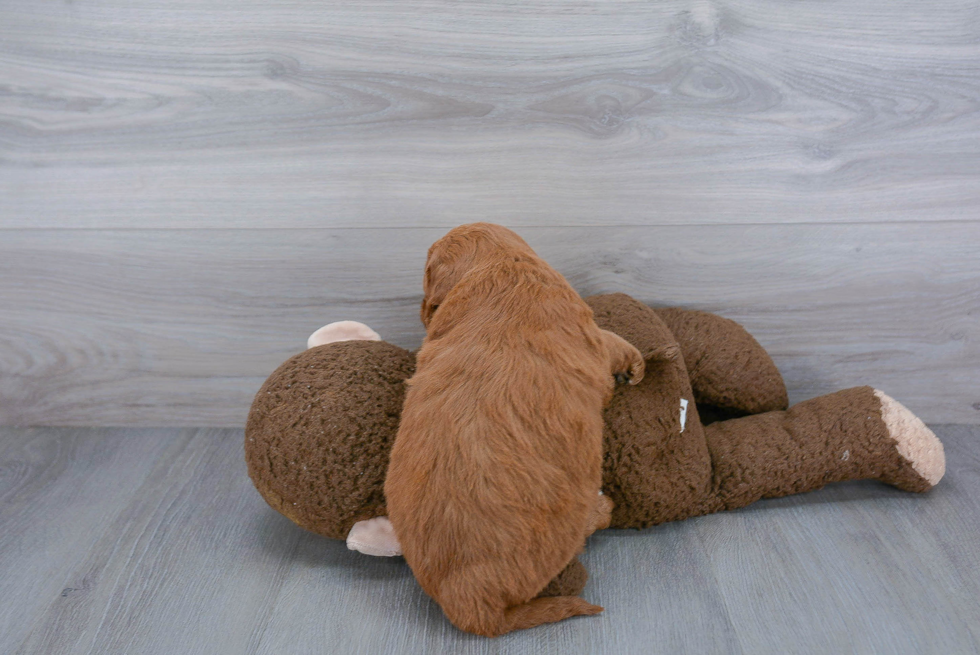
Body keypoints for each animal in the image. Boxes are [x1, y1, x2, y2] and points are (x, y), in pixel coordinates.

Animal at [382, 224, 644, 636]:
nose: (421, 312)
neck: (502, 265)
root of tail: (468, 604)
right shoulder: (593, 340)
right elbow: (612, 344)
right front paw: (636, 365)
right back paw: (603, 508)